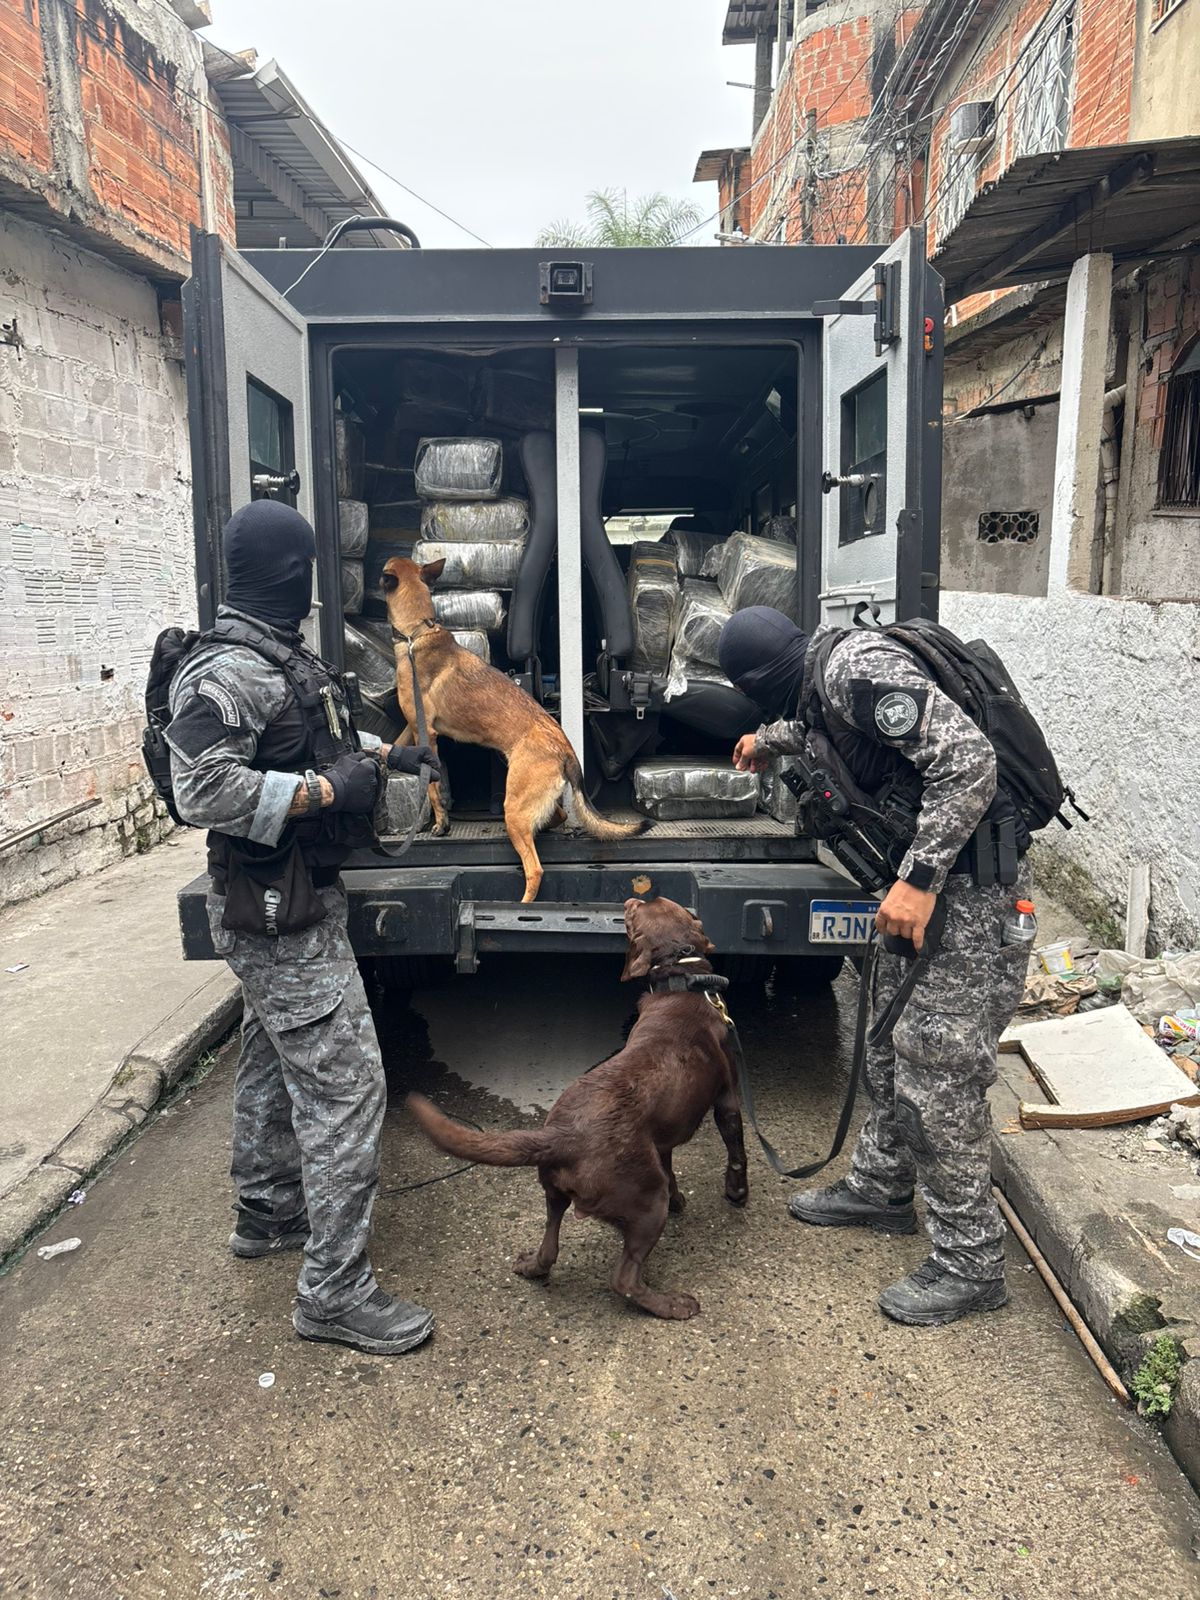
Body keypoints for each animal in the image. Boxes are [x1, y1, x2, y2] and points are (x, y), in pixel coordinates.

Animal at [385, 553, 649, 902]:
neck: (418, 631)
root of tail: (566, 749)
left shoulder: (425, 733)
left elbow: (431, 786)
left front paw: (440, 823)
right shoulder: (411, 726)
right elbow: (394, 743)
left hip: (515, 808)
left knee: (535, 868)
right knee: (557, 817)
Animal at [404, 896, 748, 1318]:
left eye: (643, 910)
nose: (632, 897)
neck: (681, 983)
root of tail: (560, 1134)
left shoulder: (661, 1139)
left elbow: (671, 1166)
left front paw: (682, 1197)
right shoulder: (727, 1098)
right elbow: (737, 1149)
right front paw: (737, 1192)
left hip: (556, 1193)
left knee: (550, 1248)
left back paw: (530, 1267)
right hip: (647, 1202)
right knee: (624, 1278)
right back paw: (672, 1304)